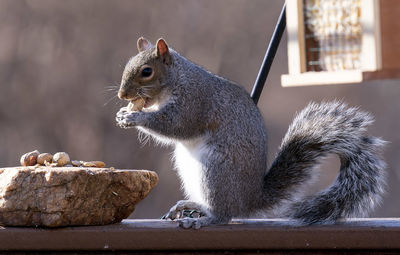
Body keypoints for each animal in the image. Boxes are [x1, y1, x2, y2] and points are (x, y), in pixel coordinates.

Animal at [116, 36, 388, 229]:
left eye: (146, 71)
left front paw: (133, 117)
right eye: (126, 66)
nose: (122, 95)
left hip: (215, 173)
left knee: (225, 215)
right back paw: (190, 204)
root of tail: (250, 199)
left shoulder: (194, 102)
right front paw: (123, 113)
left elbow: (176, 125)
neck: (178, 78)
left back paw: (202, 219)